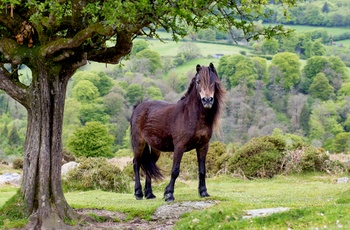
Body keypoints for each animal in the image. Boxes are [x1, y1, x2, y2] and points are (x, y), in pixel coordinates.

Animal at [131, 63, 224, 201]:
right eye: (198, 81)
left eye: (214, 82)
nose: (207, 100)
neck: (191, 116)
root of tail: (138, 107)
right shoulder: (179, 146)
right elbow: (175, 170)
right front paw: (169, 194)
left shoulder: (203, 146)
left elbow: (202, 170)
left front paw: (203, 192)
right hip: (139, 143)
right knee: (136, 163)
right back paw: (138, 193)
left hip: (155, 149)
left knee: (149, 166)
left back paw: (150, 194)